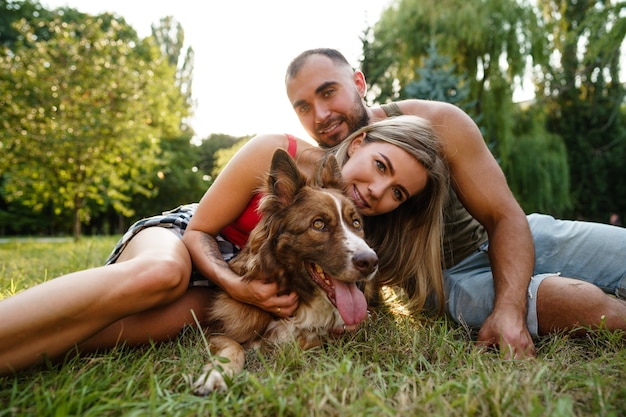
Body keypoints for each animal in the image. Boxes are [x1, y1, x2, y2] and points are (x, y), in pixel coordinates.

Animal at [191, 149, 376, 394]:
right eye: (318, 224)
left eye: (356, 223)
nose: (371, 262)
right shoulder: (211, 331)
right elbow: (233, 345)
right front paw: (218, 373)